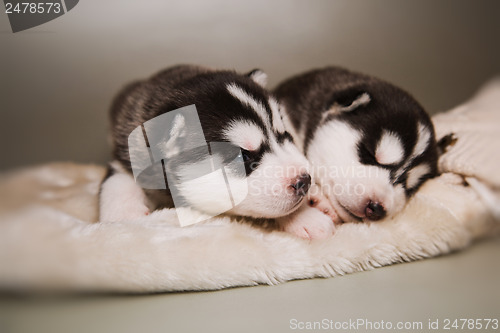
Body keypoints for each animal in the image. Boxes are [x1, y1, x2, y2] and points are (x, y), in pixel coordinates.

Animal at [98, 64, 312, 226]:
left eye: (285, 135)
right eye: (243, 156)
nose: (305, 180)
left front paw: (307, 219)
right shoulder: (126, 152)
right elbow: (118, 179)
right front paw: (125, 215)